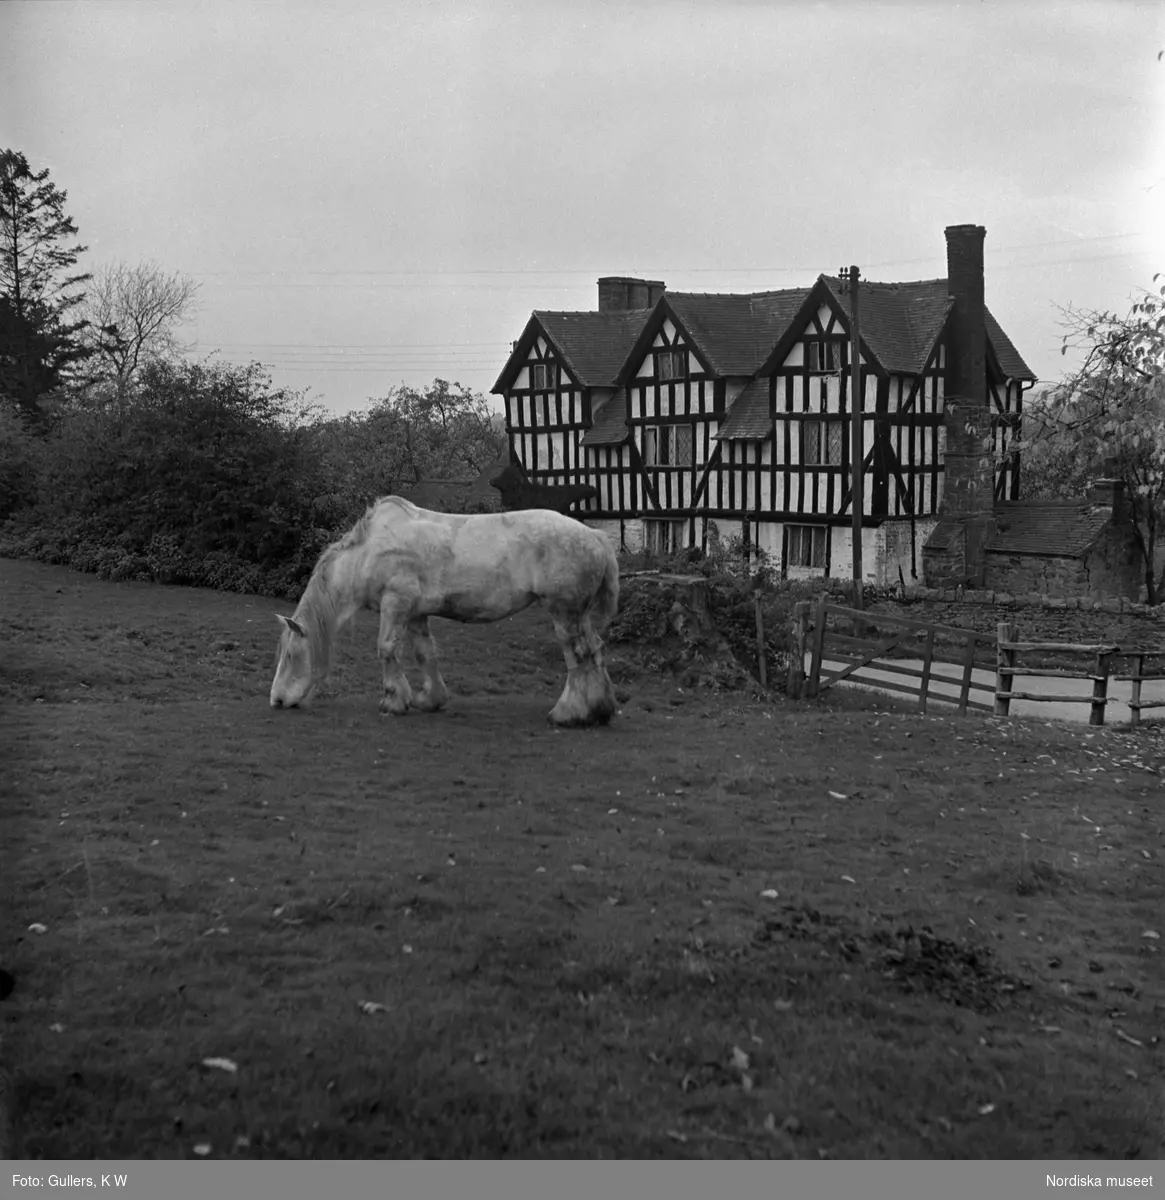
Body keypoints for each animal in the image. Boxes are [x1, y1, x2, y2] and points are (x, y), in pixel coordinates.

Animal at [269, 494, 623, 724]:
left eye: (290, 655)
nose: (277, 700)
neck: (369, 553)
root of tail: (595, 536)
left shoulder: (395, 603)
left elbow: (386, 649)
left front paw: (393, 700)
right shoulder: (415, 613)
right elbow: (425, 654)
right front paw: (430, 699)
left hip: (564, 612)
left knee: (578, 656)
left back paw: (567, 713)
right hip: (579, 614)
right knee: (596, 650)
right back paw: (599, 709)